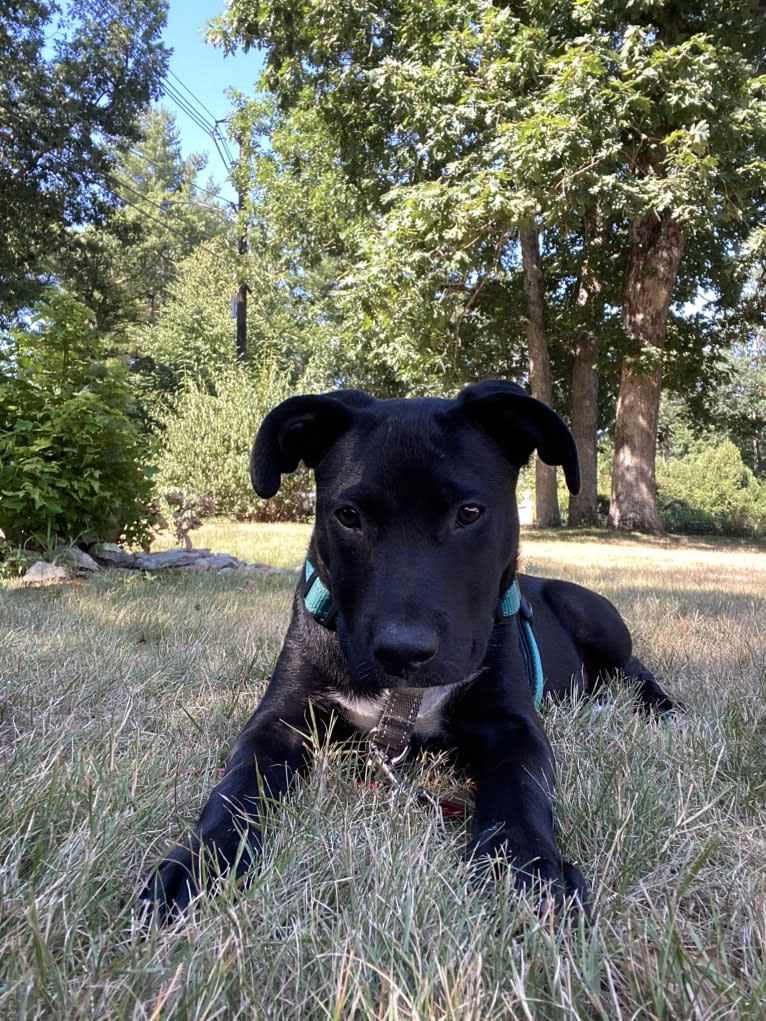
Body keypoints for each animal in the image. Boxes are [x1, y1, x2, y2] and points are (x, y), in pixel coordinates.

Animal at [140, 379, 674, 922]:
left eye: (469, 513)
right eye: (348, 516)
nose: (403, 652)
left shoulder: (513, 724)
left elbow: (520, 789)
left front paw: (526, 868)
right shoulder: (279, 722)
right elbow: (236, 787)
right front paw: (200, 861)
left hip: (592, 615)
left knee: (634, 669)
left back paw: (662, 708)